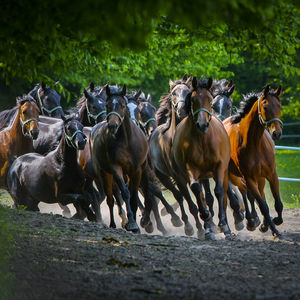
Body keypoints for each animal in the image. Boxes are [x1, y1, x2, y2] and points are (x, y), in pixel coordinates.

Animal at [91, 84, 152, 232]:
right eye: (107, 105)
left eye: (122, 105)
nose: (113, 125)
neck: (127, 141)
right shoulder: (115, 168)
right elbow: (125, 192)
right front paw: (131, 223)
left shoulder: (137, 170)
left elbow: (134, 195)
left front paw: (136, 223)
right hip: (105, 173)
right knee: (111, 199)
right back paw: (114, 223)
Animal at [171, 77, 232, 239]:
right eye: (193, 99)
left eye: (210, 100)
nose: (202, 124)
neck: (203, 140)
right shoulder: (191, 169)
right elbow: (197, 190)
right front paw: (206, 220)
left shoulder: (219, 167)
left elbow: (219, 191)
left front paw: (223, 225)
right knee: (201, 195)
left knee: (223, 196)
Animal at [224, 85, 284, 237]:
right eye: (265, 106)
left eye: (280, 106)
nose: (277, 133)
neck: (255, 143)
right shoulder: (249, 177)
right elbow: (263, 205)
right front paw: (275, 230)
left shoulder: (271, 174)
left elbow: (277, 203)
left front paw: (275, 221)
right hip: (231, 175)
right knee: (243, 191)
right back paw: (250, 221)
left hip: (260, 178)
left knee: (255, 193)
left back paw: (260, 223)